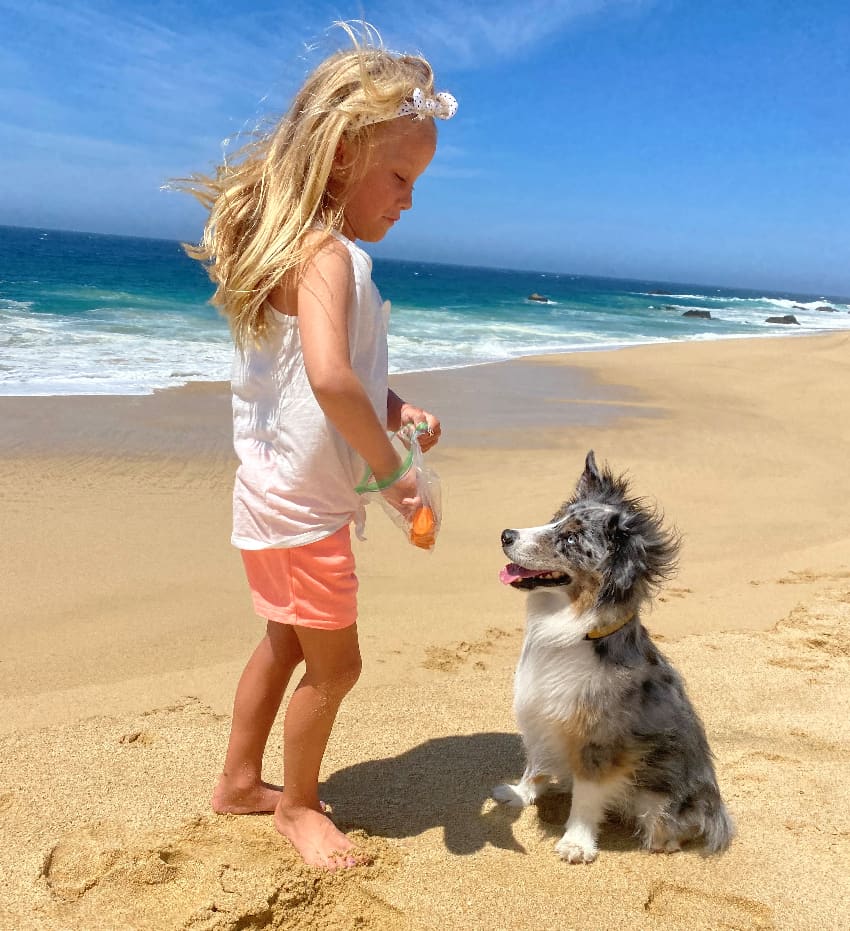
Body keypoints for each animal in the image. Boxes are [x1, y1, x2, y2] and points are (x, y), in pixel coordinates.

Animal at [494, 452, 732, 868]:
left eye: (571, 539)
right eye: (556, 519)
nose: (506, 535)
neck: (579, 630)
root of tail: (717, 813)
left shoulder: (599, 738)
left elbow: (588, 796)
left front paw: (576, 842)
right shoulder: (541, 713)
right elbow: (535, 764)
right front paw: (519, 794)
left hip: (661, 803)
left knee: (664, 833)